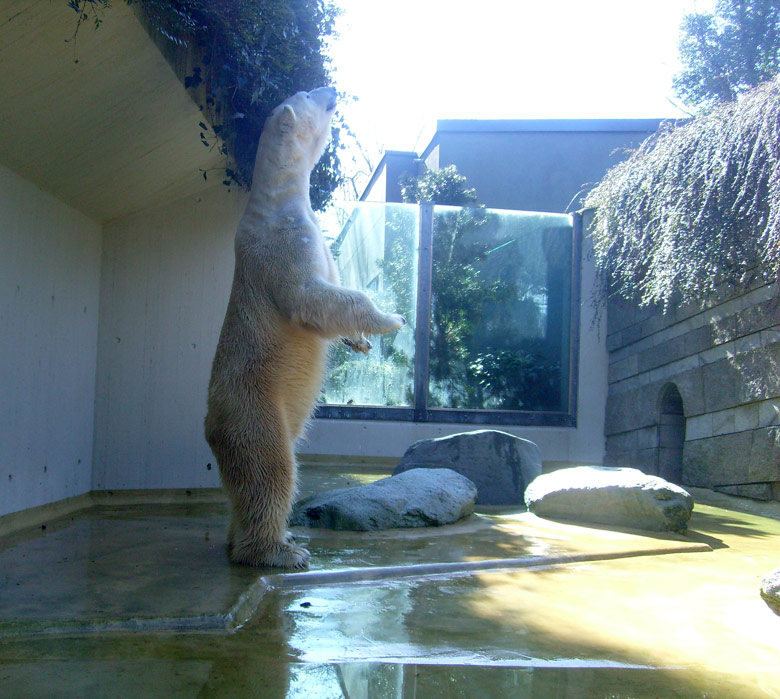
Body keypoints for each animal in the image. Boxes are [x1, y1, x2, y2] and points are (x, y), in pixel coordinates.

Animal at [204, 87, 406, 568]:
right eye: (309, 93)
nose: (330, 89)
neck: (275, 199)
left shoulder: (314, 238)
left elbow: (329, 292)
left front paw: (359, 342)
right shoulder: (282, 245)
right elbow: (309, 298)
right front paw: (392, 319)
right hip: (253, 408)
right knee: (272, 469)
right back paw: (279, 550)